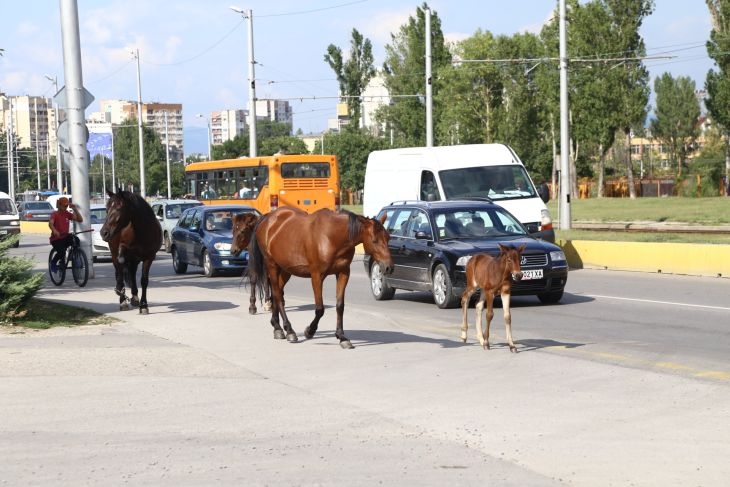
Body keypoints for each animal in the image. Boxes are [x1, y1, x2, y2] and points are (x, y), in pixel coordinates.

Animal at [247, 208, 392, 348]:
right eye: (374, 240)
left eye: (388, 238)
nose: (389, 267)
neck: (331, 237)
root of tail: (267, 218)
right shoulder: (317, 276)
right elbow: (320, 308)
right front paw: (310, 331)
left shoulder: (343, 273)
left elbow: (340, 306)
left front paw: (341, 337)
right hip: (272, 265)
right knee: (277, 295)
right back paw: (289, 330)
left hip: (285, 270)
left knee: (277, 294)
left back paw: (277, 326)